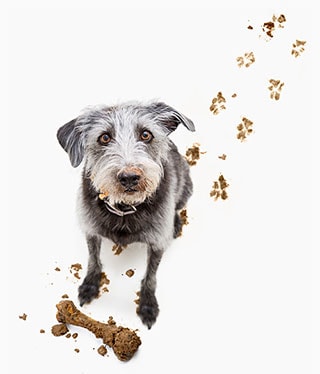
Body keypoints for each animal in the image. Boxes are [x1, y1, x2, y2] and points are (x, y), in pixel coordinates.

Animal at [57, 101, 195, 328]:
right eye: (104, 137)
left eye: (146, 134)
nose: (130, 177)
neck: (124, 209)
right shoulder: (91, 230)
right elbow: (93, 260)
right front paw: (90, 286)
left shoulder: (157, 243)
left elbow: (150, 276)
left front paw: (148, 305)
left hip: (186, 187)